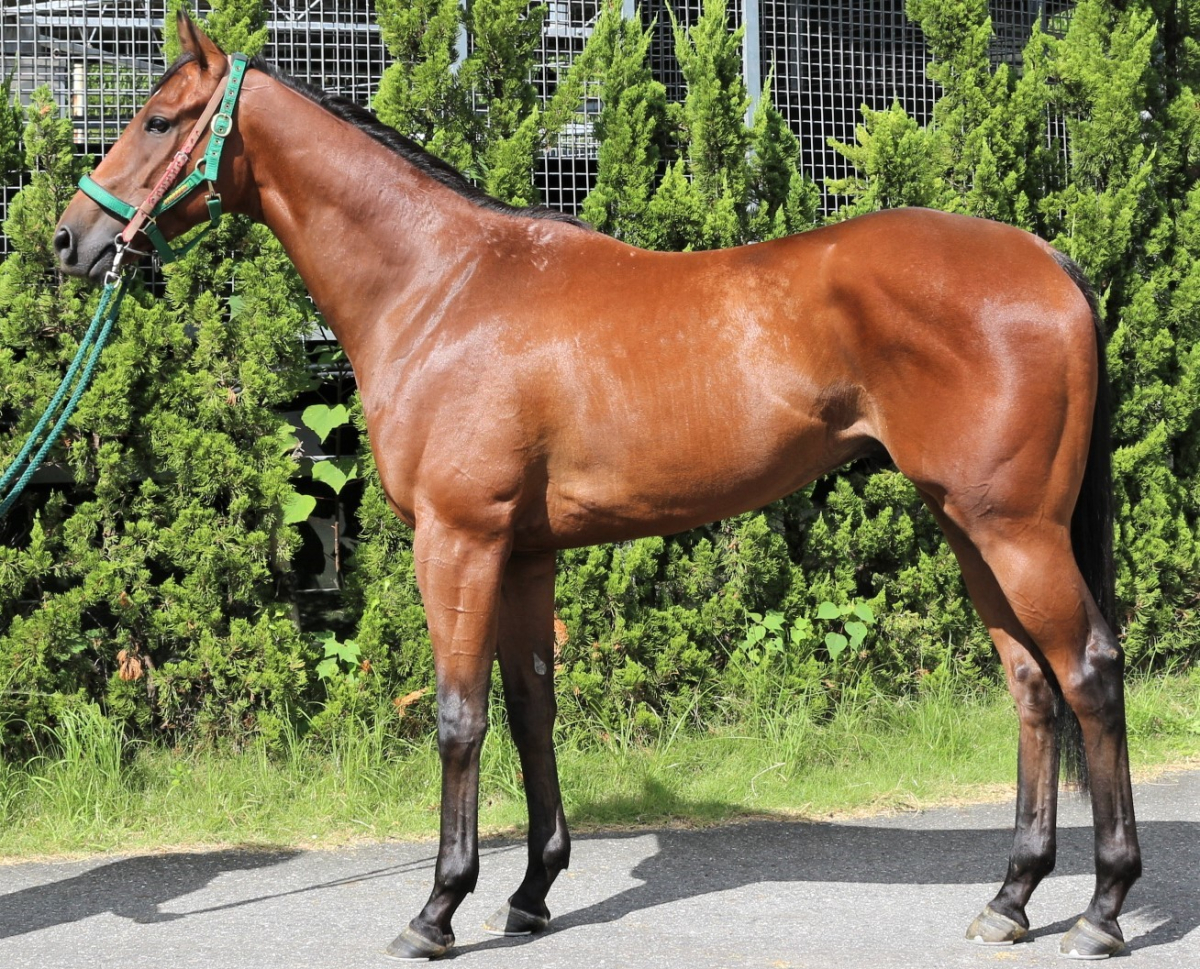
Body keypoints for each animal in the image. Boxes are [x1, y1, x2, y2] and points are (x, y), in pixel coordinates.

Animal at [53, 12, 1140, 962]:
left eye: (158, 120)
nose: (69, 239)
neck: (442, 287)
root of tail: (1047, 260)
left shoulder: (458, 540)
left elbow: (459, 717)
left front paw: (438, 909)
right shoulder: (526, 552)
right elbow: (532, 707)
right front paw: (532, 891)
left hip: (1015, 528)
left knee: (1088, 671)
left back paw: (1102, 909)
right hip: (968, 524)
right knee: (1032, 685)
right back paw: (1011, 898)